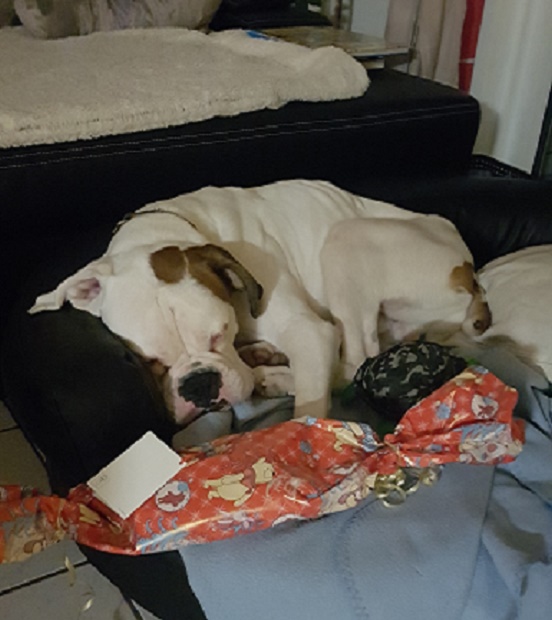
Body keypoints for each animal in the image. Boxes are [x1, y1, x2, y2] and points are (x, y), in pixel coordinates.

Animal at [30, 180, 491, 424]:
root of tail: (469, 272)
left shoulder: (308, 330)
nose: (200, 384)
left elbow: (310, 401)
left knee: (355, 361)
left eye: (219, 335)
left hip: (348, 237)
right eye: (150, 362)